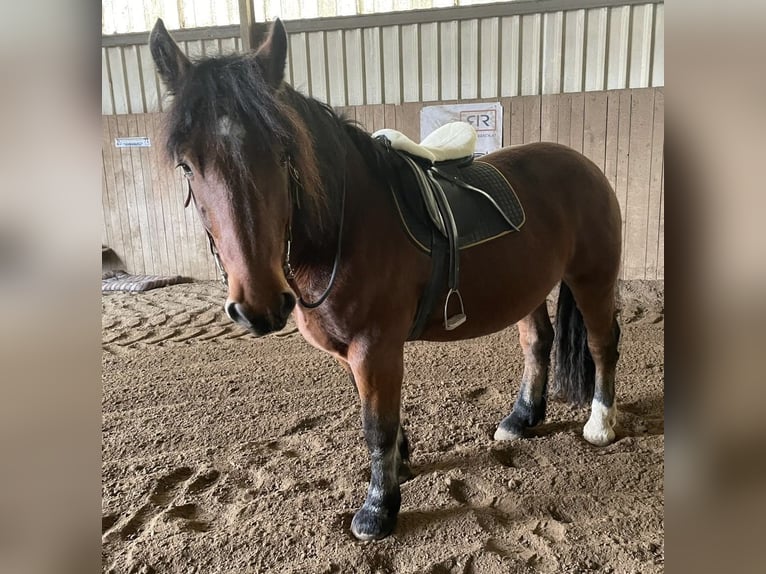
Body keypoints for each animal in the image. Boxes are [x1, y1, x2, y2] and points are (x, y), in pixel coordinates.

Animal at [149, 18, 623, 541]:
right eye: (187, 165)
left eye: (283, 153)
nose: (260, 306)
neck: (347, 223)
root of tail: (583, 164)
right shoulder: (355, 352)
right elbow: (384, 419)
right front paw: (401, 465)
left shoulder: (374, 346)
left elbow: (376, 425)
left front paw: (378, 509)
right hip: (530, 286)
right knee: (538, 342)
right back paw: (521, 419)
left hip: (593, 277)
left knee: (602, 343)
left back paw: (600, 423)